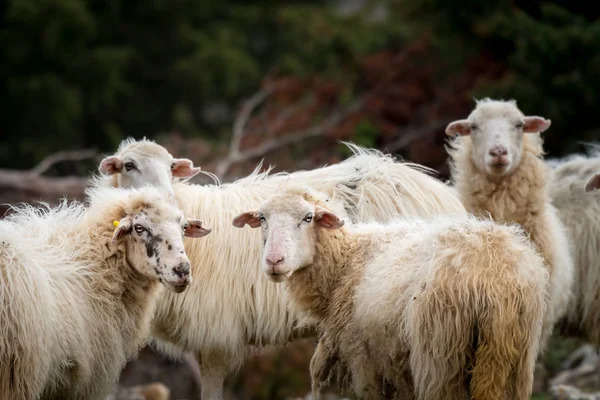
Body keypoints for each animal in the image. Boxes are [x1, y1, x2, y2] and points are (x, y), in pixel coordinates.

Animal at [233, 187, 548, 400]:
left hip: (440, 358)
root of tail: (492, 275)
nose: (274, 261)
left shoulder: (363, 362)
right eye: (262, 218)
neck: (346, 262)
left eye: (308, 217)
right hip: (512, 358)